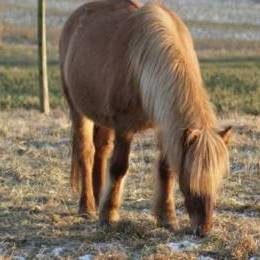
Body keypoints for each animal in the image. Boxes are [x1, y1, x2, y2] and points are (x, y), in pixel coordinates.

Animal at [60, 0, 233, 236]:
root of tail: (76, 16)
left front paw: (166, 217)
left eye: (217, 180)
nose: (203, 230)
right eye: (190, 180)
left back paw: (98, 195)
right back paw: (87, 207)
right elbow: (119, 167)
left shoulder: (165, 125)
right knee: (85, 153)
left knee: (101, 151)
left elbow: (166, 169)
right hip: (78, 110)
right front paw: (109, 216)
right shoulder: (124, 127)